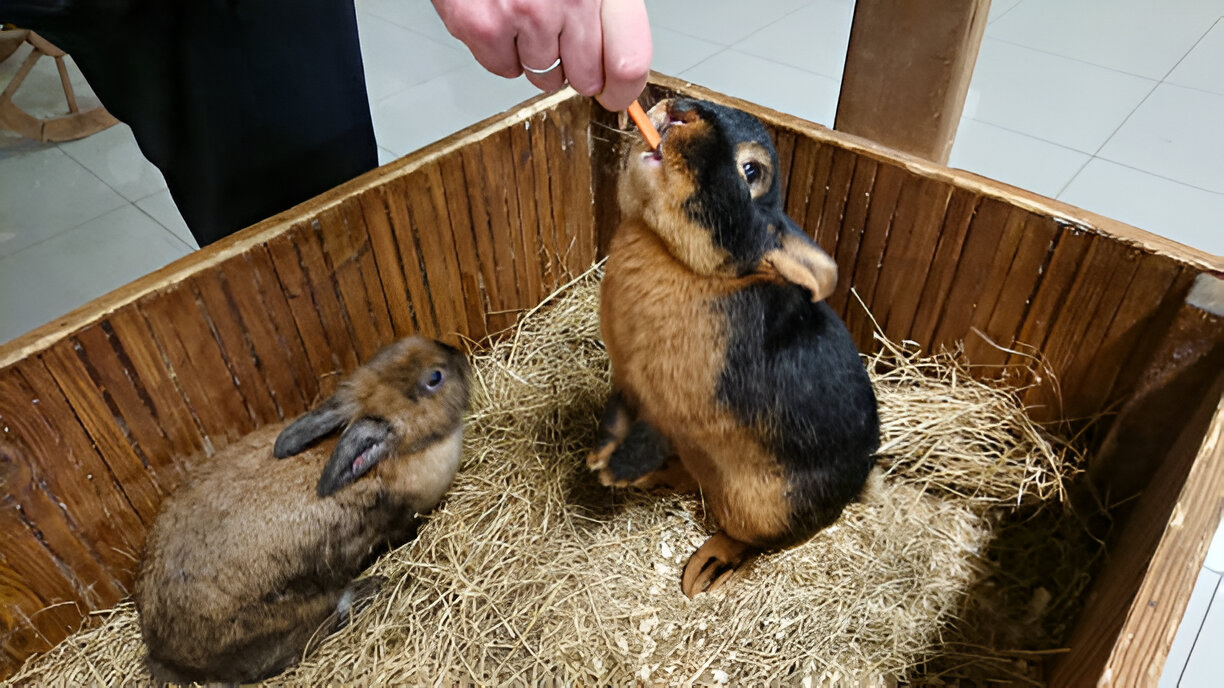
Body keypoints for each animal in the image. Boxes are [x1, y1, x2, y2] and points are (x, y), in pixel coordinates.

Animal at [135, 336, 471, 684]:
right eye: (434, 378)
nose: (457, 354)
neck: (399, 455)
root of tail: (165, 655)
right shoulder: (400, 523)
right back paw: (369, 588)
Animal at [589, 98, 880, 598]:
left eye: (751, 170)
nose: (680, 110)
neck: (681, 262)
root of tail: (851, 493)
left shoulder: (671, 410)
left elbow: (645, 434)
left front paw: (615, 470)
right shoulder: (627, 386)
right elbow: (617, 419)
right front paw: (599, 457)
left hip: (763, 505)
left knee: (755, 539)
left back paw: (709, 568)